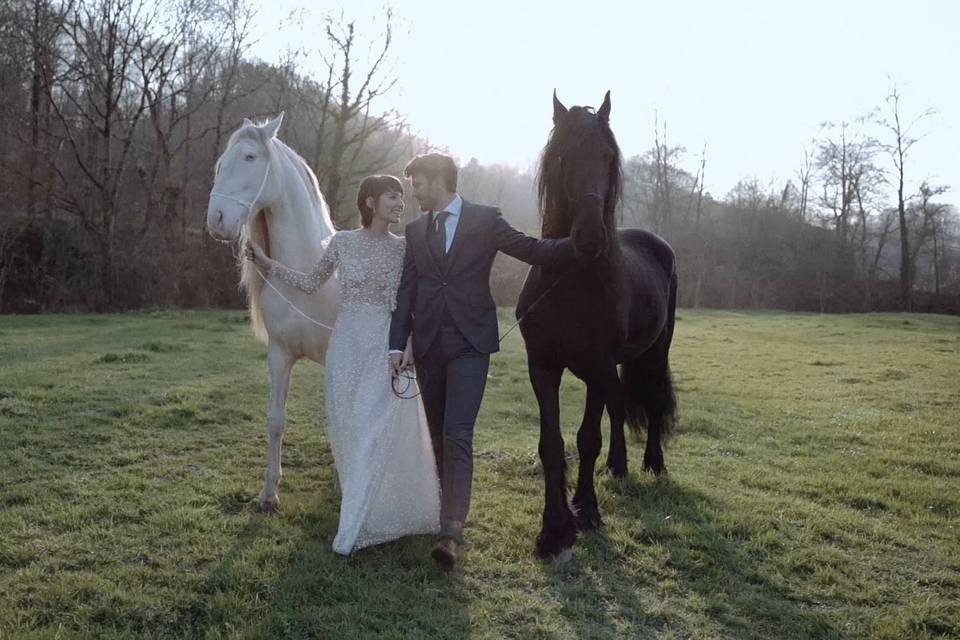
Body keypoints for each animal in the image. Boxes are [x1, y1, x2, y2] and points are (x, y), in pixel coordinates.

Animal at [204, 112, 340, 512]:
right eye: (221, 161)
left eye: (250, 157)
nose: (217, 219)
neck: (310, 270)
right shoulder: (279, 355)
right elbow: (276, 420)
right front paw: (268, 494)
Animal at [516, 90, 676, 560]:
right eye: (564, 157)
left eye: (608, 157)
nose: (589, 237)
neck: (570, 278)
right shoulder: (543, 366)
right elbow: (552, 444)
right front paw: (553, 529)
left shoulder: (597, 365)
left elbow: (587, 438)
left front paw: (585, 511)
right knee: (620, 405)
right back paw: (618, 467)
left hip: (655, 351)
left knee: (651, 401)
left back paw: (653, 463)